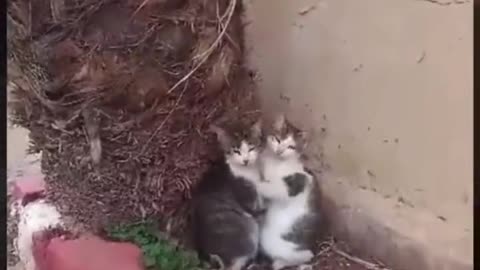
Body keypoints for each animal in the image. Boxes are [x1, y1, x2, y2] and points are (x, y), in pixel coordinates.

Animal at [191, 119, 264, 270]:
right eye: (236, 151)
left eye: (251, 148)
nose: (246, 160)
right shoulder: (248, 198)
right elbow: (257, 209)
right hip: (248, 232)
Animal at [244, 115, 322, 270]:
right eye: (278, 140)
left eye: (290, 147)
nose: (279, 151)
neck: (276, 162)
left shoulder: (296, 181)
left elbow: (272, 188)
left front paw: (255, 182)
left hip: (272, 240)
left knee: (306, 256)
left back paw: (280, 263)